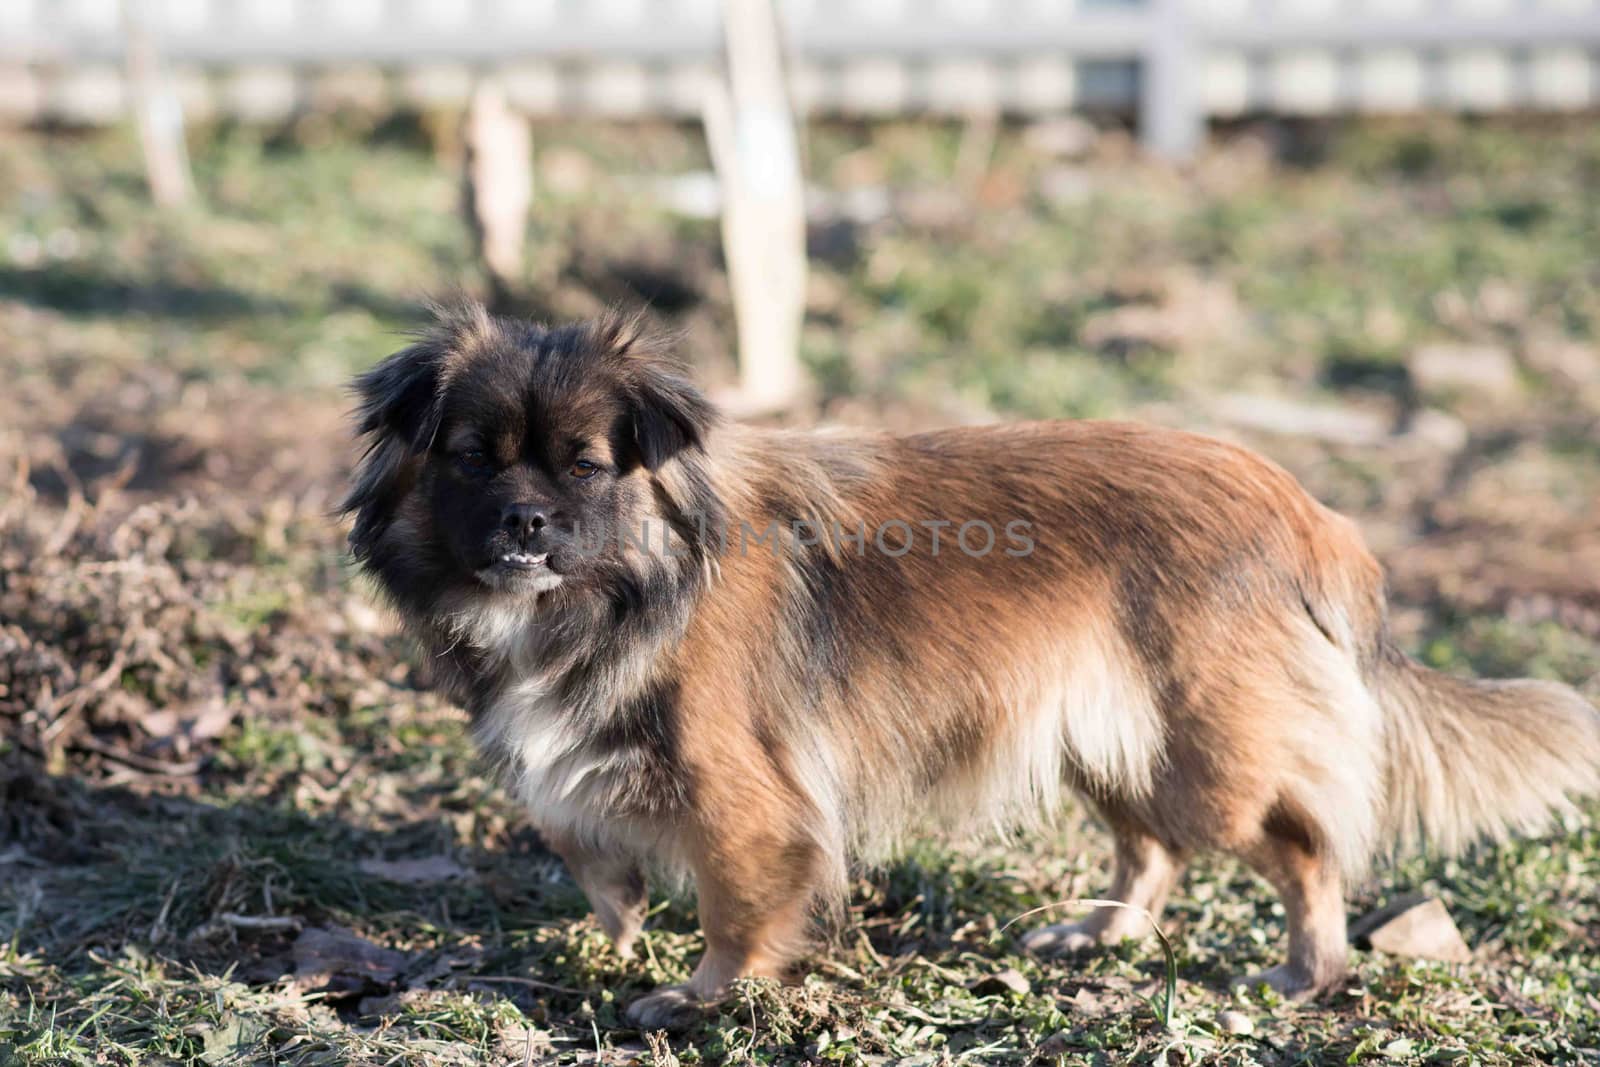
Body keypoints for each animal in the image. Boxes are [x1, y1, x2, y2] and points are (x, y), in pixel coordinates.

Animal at [347, 303, 1600, 1030]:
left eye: (585, 467)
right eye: (471, 459)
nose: (524, 522)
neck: (620, 587)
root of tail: (1308, 513)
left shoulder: (745, 798)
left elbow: (736, 902)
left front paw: (701, 995)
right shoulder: (580, 762)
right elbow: (592, 855)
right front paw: (602, 940)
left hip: (1206, 753)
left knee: (1299, 847)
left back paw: (1307, 970)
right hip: (1109, 736)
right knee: (1150, 850)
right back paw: (1101, 931)